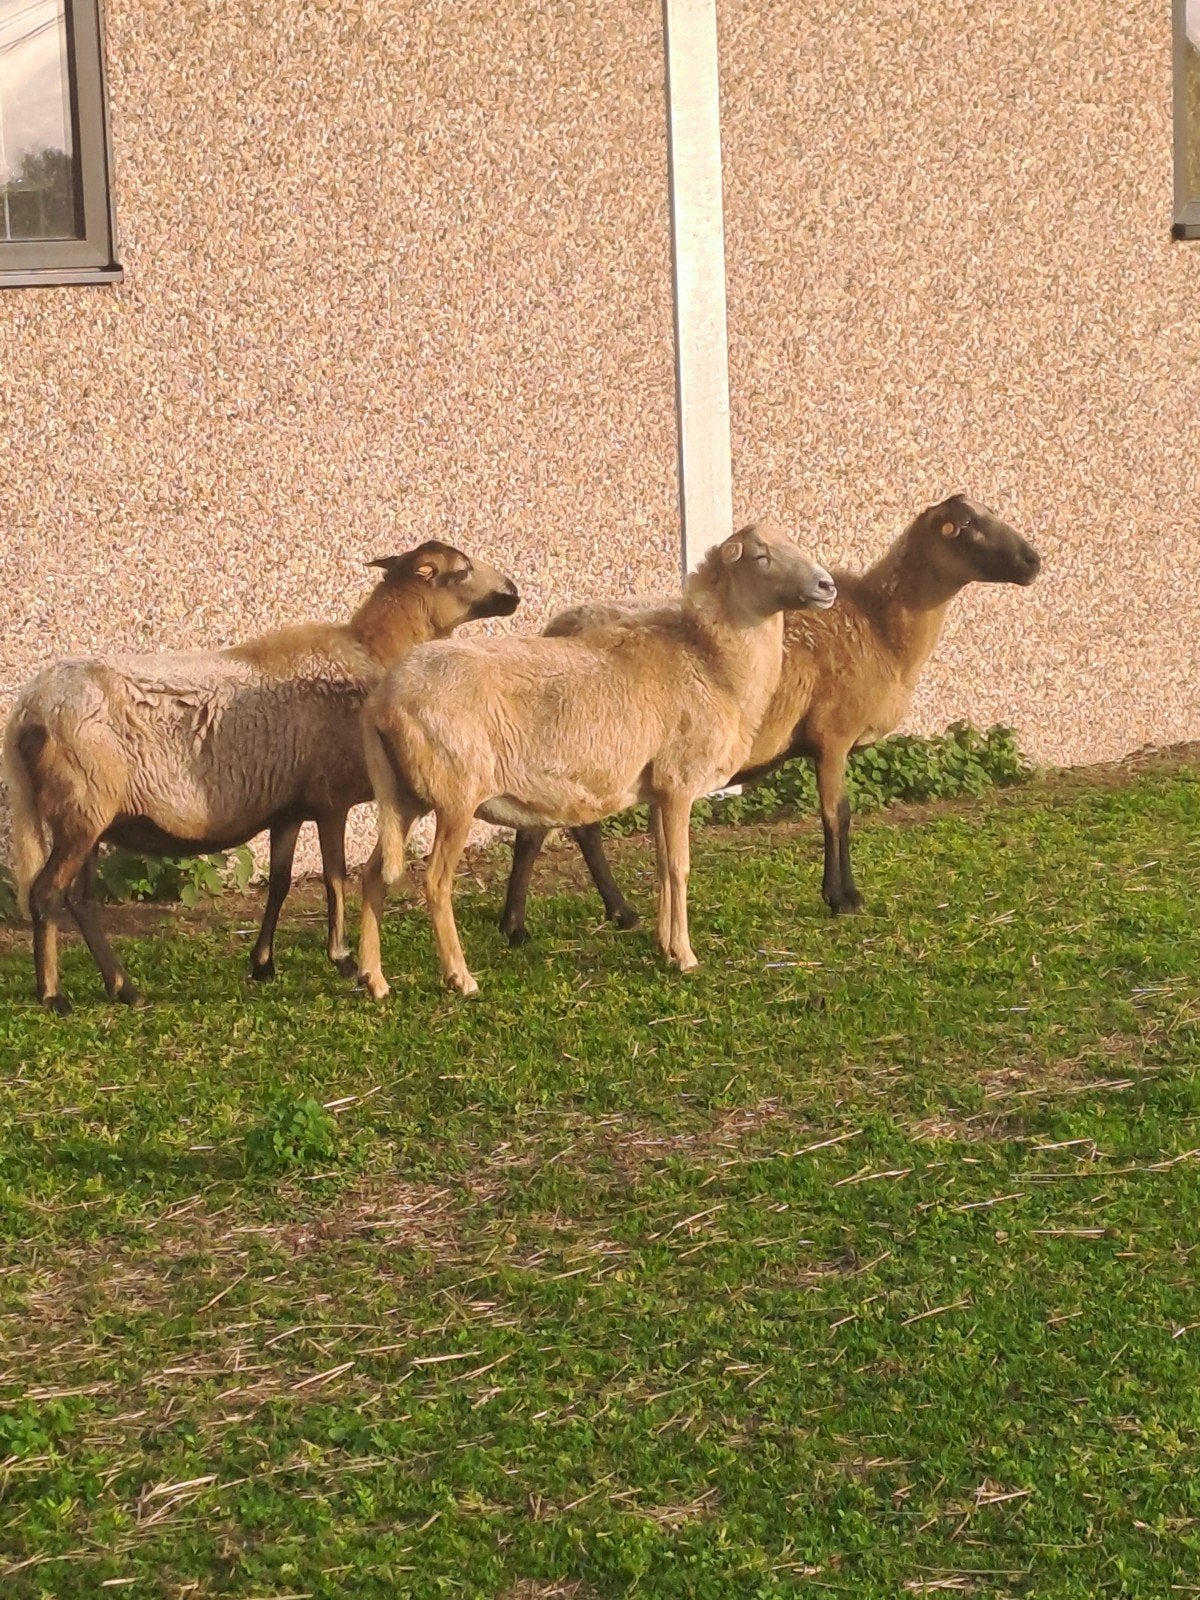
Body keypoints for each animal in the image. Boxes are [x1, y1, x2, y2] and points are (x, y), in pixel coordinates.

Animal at [3, 541, 520, 1013]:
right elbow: (334, 876)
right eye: (462, 570)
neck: (369, 651)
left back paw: (122, 988)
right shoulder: (330, 800)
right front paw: (342, 958)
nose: (514, 593)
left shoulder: (288, 806)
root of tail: (29, 711)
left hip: (86, 814)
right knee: (47, 893)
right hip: (82, 807)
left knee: (79, 901)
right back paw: (54, 995)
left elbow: (280, 883)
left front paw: (262, 964)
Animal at [353, 521, 837, 999]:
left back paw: (373, 978)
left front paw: (664, 946)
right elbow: (679, 868)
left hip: (406, 794)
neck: (707, 660)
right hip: (454, 795)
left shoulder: (659, 789)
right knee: (436, 882)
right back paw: (460, 977)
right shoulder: (679, 782)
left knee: (375, 875)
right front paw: (685, 956)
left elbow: (662, 866)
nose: (827, 585)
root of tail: (382, 702)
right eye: (761, 556)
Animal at [498, 494, 1041, 942]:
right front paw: (843, 898)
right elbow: (837, 814)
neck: (881, 626)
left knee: (570, 826)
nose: (1034, 561)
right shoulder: (833, 736)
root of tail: (557, 626)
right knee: (550, 828)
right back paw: (529, 924)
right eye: (969, 525)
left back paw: (604, 914)